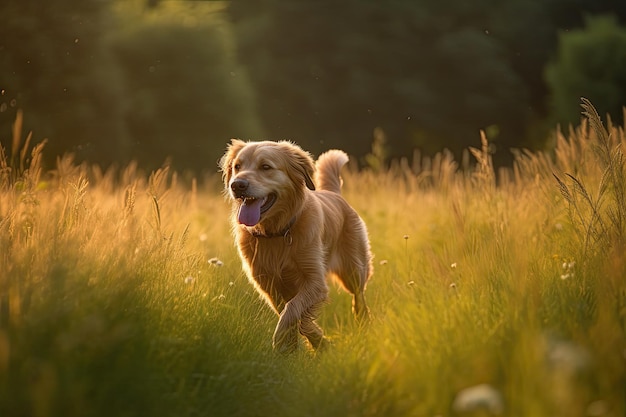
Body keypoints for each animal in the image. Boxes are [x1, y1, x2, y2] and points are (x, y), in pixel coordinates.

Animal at [219, 140, 370, 352]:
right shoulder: (269, 285)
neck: (277, 232)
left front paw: (283, 342)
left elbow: (292, 310)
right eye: (237, 166)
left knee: (359, 295)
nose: (237, 185)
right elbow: (291, 314)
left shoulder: (315, 281)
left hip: (354, 270)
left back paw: (363, 321)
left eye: (266, 167)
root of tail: (334, 194)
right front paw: (313, 342)